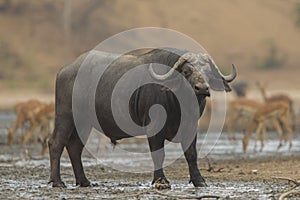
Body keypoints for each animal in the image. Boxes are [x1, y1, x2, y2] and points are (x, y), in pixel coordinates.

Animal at [48, 47, 237, 188]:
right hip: (65, 115)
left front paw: (199, 180)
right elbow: (158, 154)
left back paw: (84, 181)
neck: (179, 101)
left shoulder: (191, 126)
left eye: (207, 71)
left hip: (84, 122)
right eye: (186, 71)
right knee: (56, 143)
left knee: (75, 147)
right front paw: (161, 180)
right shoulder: (154, 127)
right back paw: (58, 182)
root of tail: (65, 70)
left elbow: (191, 154)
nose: (202, 88)